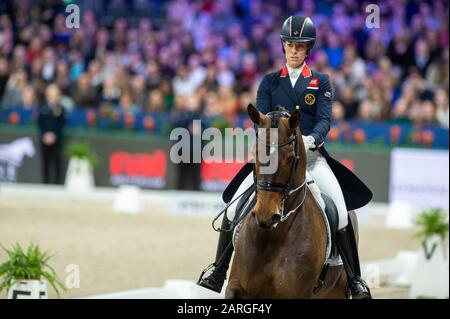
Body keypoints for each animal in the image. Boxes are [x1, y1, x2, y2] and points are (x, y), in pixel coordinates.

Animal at [225, 105, 358, 300]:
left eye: (290, 158)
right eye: (256, 154)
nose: (266, 215)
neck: (273, 236)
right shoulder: (236, 287)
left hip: (337, 290)